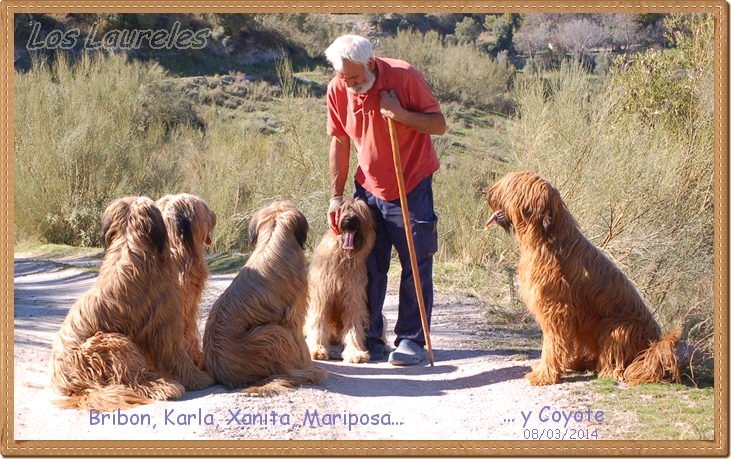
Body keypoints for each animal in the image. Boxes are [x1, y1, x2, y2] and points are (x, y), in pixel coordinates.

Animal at [49, 196, 212, 412]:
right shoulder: (166, 322)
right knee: (133, 379)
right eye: (205, 209)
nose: (214, 214)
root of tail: (74, 387)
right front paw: (197, 378)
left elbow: (189, 342)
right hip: (110, 342)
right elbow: (177, 353)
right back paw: (164, 386)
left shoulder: (183, 313)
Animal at [304, 199, 384, 364]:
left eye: (360, 210)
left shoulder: (354, 298)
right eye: (344, 209)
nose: (349, 220)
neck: (344, 255)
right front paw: (316, 349)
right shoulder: (321, 295)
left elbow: (354, 325)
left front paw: (355, 352)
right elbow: (318, 320)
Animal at [486, 171, 680, 386]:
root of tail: (654, 347)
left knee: (615, 364)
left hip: (617, 327)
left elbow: (552, 344)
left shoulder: (557, 309)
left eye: (507, 186)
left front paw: (544, 375)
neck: (546, 239)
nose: (485, 191)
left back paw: (605, 369)